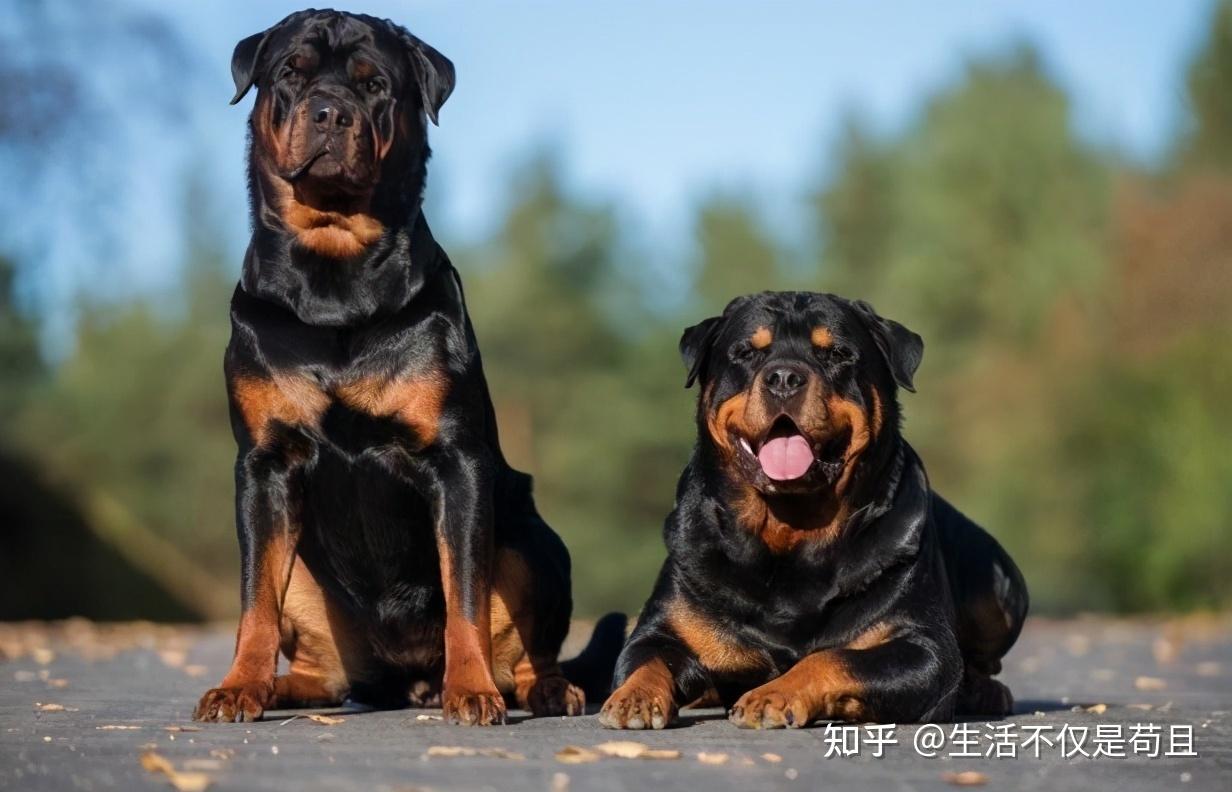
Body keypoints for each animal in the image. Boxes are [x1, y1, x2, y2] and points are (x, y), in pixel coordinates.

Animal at [194, 10, 625, 729]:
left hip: (535, 545)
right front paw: (238, 686)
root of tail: (406, 678)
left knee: (531, 642)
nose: (330, 110)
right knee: (324, 666)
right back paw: (284, 686)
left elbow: (465, 596)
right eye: (291, 73)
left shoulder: (456, 462)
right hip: (310, 585)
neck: (335, 276)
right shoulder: (263, 463)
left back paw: (539, 688)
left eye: (374, 85)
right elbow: (254, 599)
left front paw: (471, 688)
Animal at [601, 293, 1025, 729]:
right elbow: (646, 658)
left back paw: (984, 691)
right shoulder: (662, 628)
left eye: (837, 353)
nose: (784, 377)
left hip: (999, 590)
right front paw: (635, 698)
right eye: (746, 353)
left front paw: (772, 695)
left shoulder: (924, 648)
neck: (790, 530)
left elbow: (832, 657)